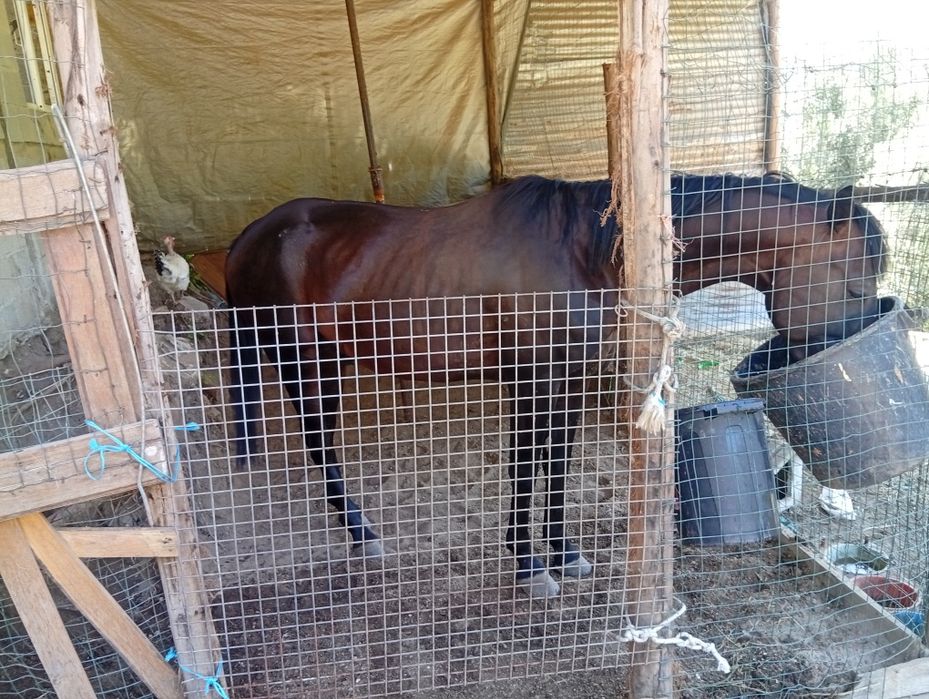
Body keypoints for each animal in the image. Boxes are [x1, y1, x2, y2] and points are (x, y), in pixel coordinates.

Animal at [225, 172, 887, 597]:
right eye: (856, 282)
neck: (588, 254)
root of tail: (252, 235)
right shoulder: (530, 379)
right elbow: (525, 463)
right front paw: (528, 566)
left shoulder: (568, 380)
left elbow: (558, 462)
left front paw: (564, 555)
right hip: (302, 358)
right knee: (319, 442)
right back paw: (363, 534)